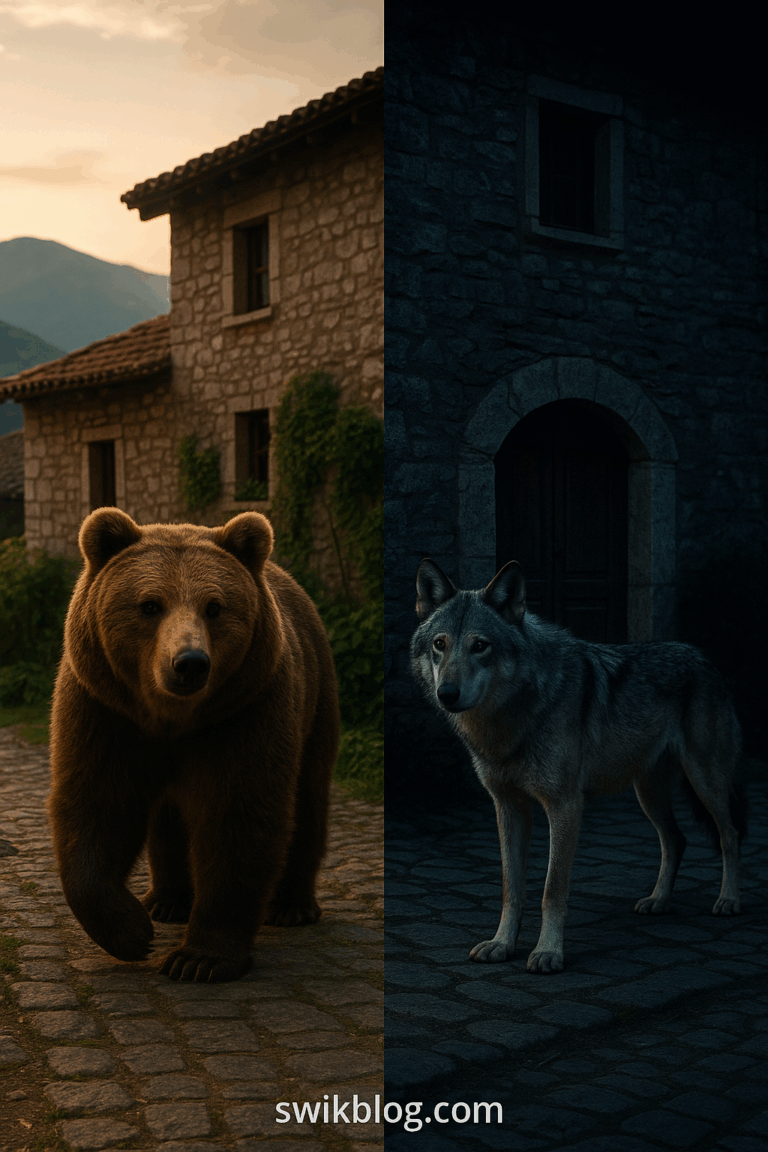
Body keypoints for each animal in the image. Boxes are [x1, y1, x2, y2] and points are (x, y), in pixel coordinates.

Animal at [48, 507, 339, 983]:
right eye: (150, 604)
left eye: (215, 606)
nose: (189, 663)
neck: (171, 719)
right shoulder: (106, 710)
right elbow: (97, 803)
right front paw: (131, 931)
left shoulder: (242, 714)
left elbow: (237, 815)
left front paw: (199, 958)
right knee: (167, 816)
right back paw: (166, 901)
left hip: (314, 703)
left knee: (307, 797)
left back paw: (291, 906)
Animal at [410, 558, 746, 974]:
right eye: (440, 645)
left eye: (480, 646)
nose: (447, 694)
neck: (512, 720)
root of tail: (703, 657)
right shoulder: (508, 808)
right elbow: (511, 889)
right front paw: (502, 944)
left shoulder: (564, 805)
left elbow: (552, 890)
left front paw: (548, 952)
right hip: (647, 793)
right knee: (676, 840)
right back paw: (658, 901)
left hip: (704, 781)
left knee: (729, 834)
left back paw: (728, 900)